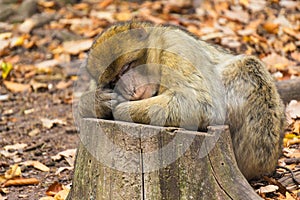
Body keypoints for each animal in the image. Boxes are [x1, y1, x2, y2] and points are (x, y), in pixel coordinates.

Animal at [78, 21, 286, 180]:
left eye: (127, 67)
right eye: (114, 81)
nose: (130, 89)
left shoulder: (175, 47)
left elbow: (201, 104)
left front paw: (120, 110)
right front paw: (95, 101)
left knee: (247, 66)